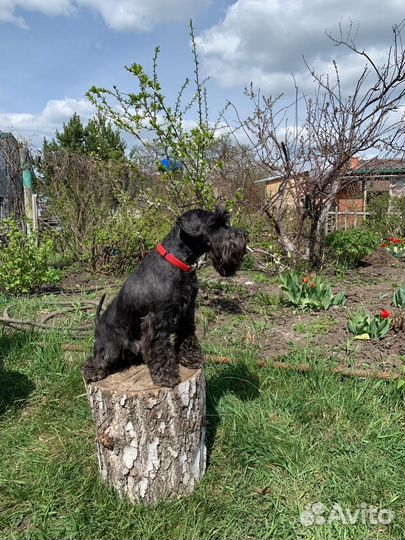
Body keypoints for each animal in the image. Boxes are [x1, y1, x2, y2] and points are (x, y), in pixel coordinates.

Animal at [82, 208, 246, 388]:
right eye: (215, 224)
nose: (244, 236)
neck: (178, 262)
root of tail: (98, 324)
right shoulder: (156, 320)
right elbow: (160, 348)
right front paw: (166, 376)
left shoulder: (187, 312)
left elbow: (187, 336)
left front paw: (191, 359)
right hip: (112, 347)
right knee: (95, 360)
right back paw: (94, 373)